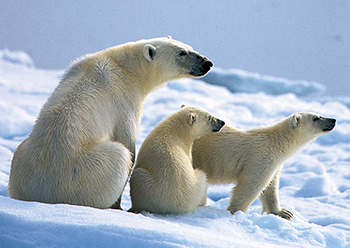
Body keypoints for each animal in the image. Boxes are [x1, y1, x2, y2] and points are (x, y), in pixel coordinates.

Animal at [8, 35, 212, 208]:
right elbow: (128, 143)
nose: (207, 63)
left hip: (21, 160)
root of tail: (43, 191)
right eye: (182, 53)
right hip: (88, 171)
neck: (123, 65)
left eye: (189, 47)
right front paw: (119, 204)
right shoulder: (124, 100)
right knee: (118, 155)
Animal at [193, 112, 334, 219]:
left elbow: (270, 187)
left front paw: (284, 213)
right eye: (316, 118)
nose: (333, 120)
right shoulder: (260, 158)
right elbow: (251, 186)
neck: (276, 142)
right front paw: (235, 212)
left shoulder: (273, 164)